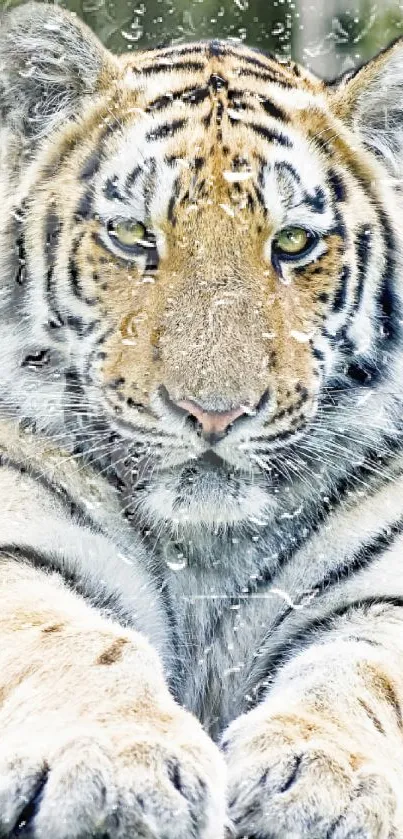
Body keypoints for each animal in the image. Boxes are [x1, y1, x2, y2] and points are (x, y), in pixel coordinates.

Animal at [1, 0, 403, 836]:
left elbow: (359, 673)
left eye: (292, 243)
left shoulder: (384, 586)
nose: (212, 414)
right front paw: (116, 766)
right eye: (132, 236)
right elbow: (75, 639)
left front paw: (326, 781)